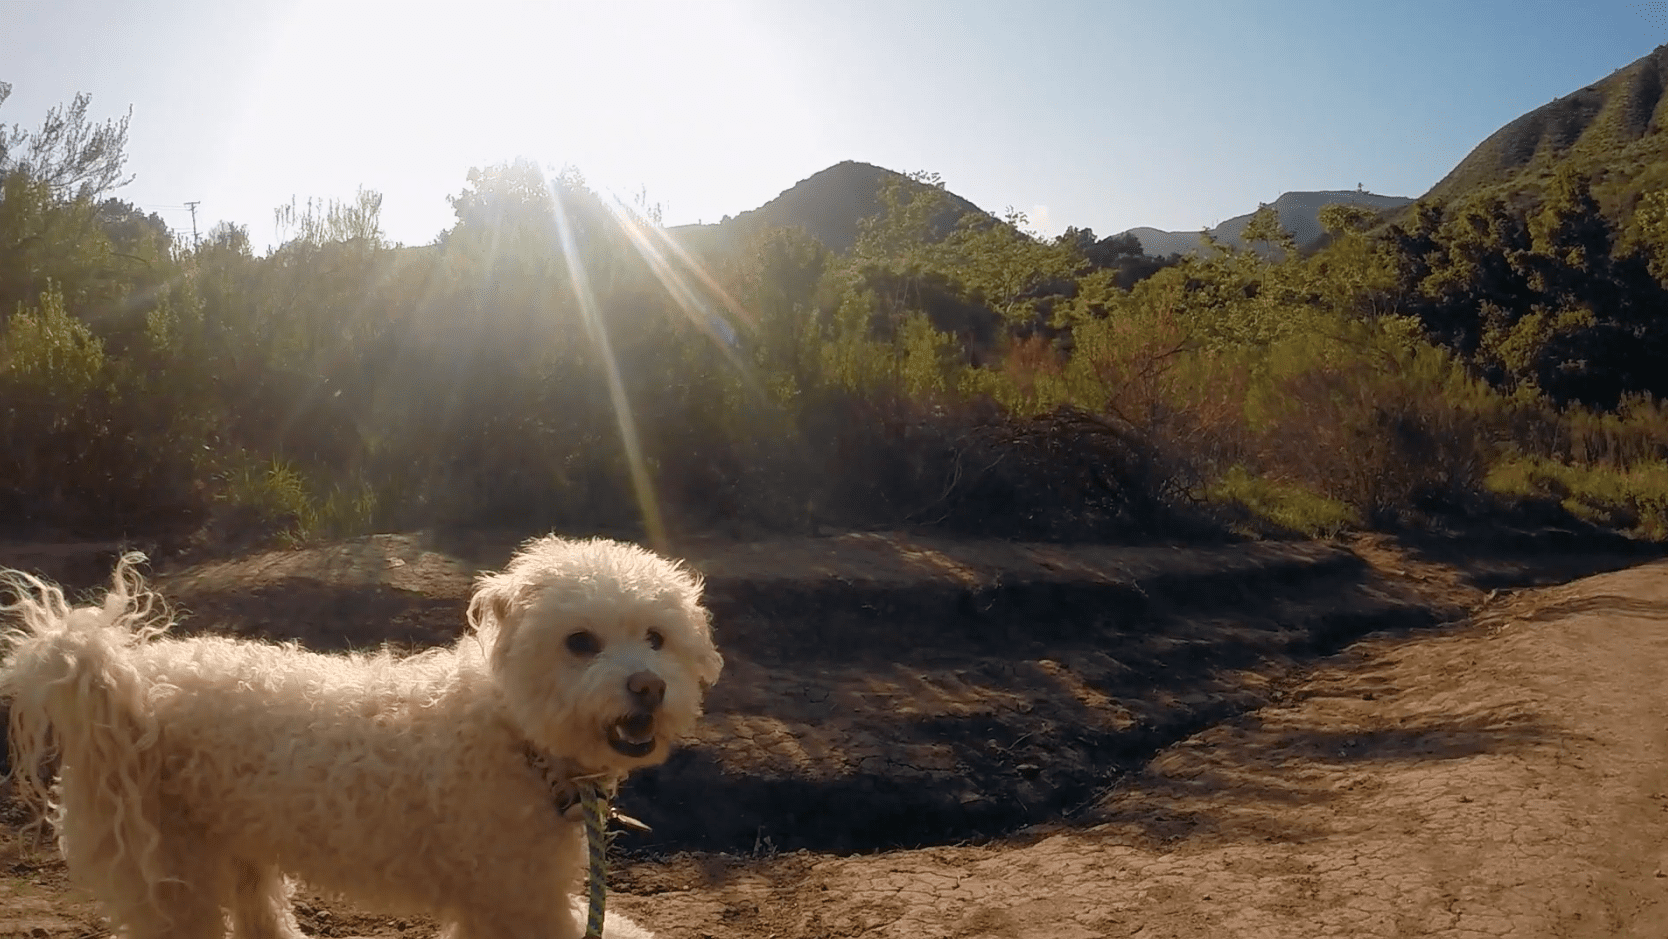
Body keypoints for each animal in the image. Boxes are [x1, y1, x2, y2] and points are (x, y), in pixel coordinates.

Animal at [4, 537, 723, 939]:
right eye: (580, 642)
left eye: (656, 638)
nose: (648, 687)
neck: (511, 732)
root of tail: (116, 675)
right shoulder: (517, 900)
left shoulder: (508, 902)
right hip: (171, 873)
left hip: (238, 849)